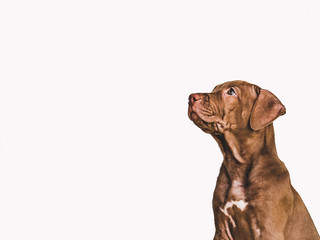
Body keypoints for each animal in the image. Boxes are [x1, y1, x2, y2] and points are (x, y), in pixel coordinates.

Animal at [189, 81, 318, 240]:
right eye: (214, 89)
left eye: (231, 92)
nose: (191, 97)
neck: (238, 166)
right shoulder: (221, 229)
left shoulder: (269, 230)